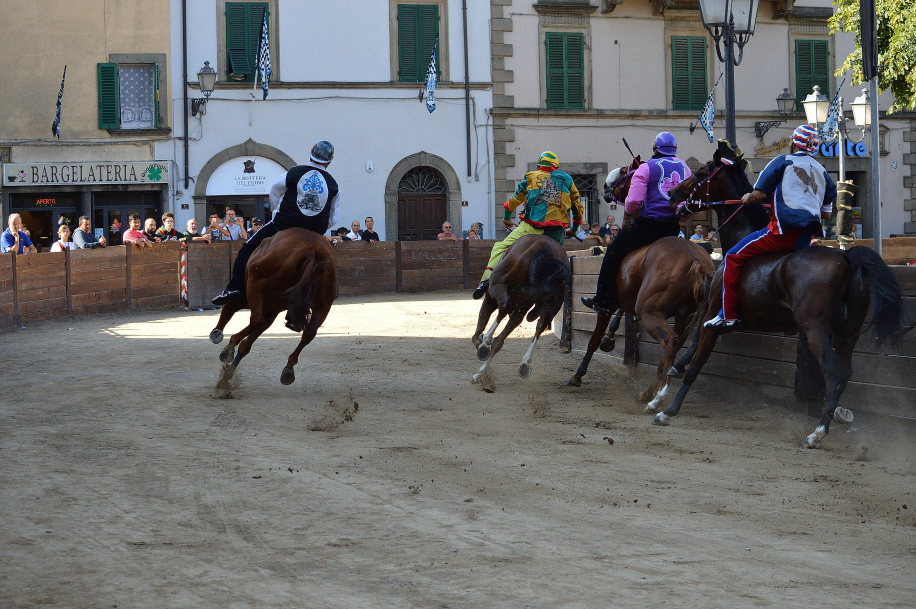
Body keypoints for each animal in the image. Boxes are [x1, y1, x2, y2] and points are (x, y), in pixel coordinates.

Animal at [208, 228, 336, 384]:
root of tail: (313, 249)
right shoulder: (272, 311)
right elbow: (247, 344)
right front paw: (229, 370)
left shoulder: (251, 300)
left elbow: (230, 309)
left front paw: (220, 337)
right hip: (323, 305)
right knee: (309, 333)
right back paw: (288, 369)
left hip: (255, 284)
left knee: (256, 320)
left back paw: (229, 345)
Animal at [472, 233, 572, 390]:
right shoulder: (521, 308)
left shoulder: (491, 297)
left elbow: (482, 322)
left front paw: (482, 342)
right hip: (549, 307)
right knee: (537, 327)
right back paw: (523, 365)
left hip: (498, 288)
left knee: (503, 308)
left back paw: (484, 348)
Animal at [564, 157, 716, 414]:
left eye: (626, 172)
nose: (606, 188)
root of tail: (695, 259)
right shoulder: (628, 298)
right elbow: (618, 318)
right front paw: (610, 339)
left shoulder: (609, 303)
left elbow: (594, 338)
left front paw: (578, 375)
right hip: (683, 316)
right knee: (673, 348)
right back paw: (650, 392)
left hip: (650, 311)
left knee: (670, 342)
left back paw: (659, 397)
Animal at [660, 144, 912, 446]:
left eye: (700, 173)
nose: (673, 194)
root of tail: (847, 258)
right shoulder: (719, 315)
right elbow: (696, 341)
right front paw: (671, 376)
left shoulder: (715, 313)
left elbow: (698, 360)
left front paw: (668, 409)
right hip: (848, 330)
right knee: (845, 369)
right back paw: (836, 413)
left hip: (814, 327)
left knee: (830, 367)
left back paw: (819, 430)